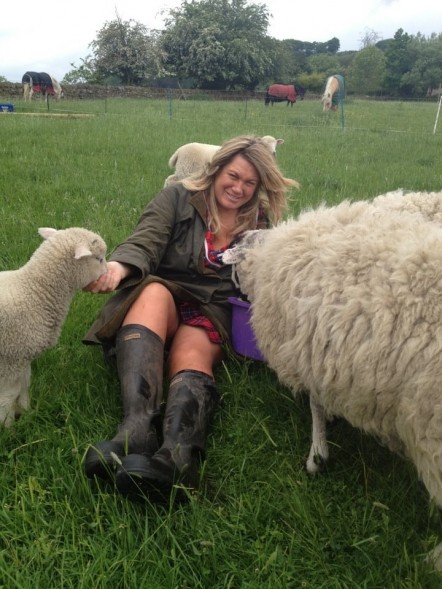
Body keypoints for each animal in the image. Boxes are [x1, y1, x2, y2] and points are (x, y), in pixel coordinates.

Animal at [0, 225, 107, 422]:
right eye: (99, 259)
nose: (108, 273)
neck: (35, 290)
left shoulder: (24, 355)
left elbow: (25, 385)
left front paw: (27, 413)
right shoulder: (12, 356)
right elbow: (7, 397)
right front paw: (7, 424)